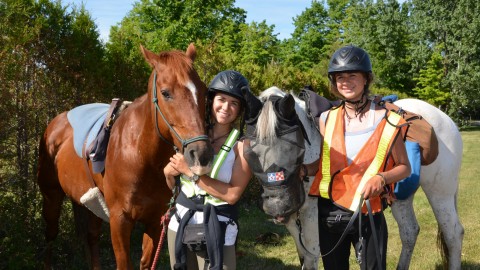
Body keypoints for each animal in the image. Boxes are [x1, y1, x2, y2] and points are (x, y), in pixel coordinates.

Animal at [38, 43, 215, 268]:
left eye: (203, 92)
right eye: (165, 93)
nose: (201, 154)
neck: (141, 156)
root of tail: (56, 123)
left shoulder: (155, 220)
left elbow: (146, 263)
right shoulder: (119, 220)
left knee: (91, 237)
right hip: (52, 197)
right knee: (50, 236)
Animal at [258, 87, 464, 268]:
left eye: (293, 145)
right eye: (253, 149)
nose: (278, 205)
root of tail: (447, 120)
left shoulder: (312, 216)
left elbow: (311, 259)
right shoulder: (294, 222)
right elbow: (304, 256)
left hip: (440, 192)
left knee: (453, 234)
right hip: (402, 197)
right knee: (410, 231)